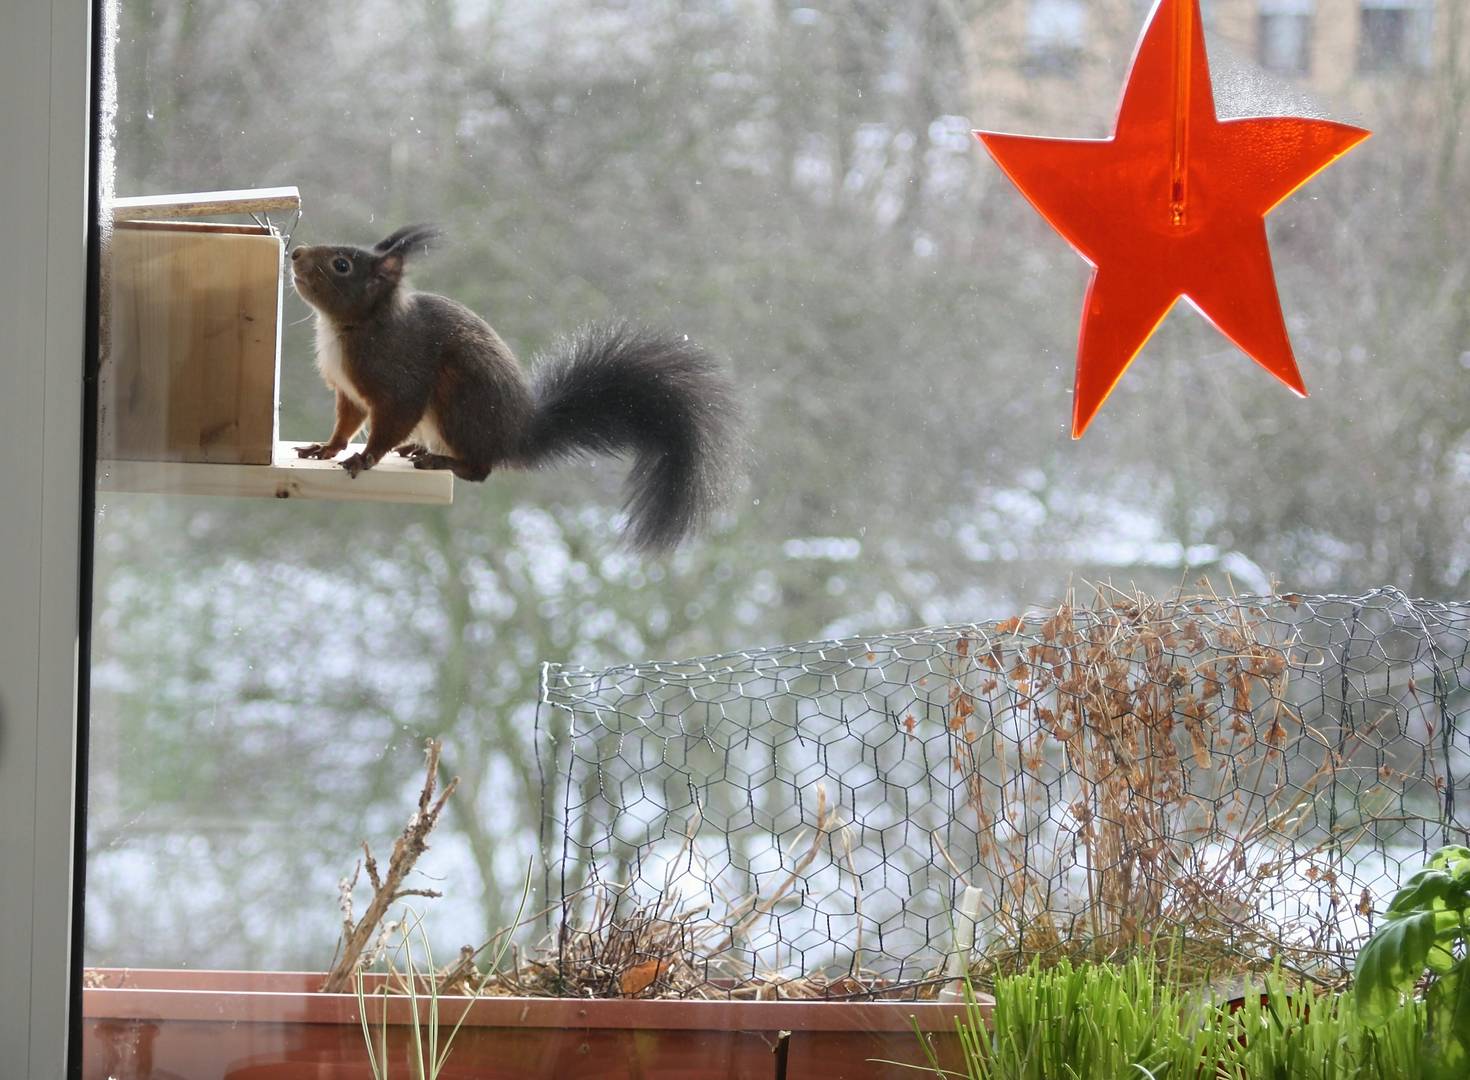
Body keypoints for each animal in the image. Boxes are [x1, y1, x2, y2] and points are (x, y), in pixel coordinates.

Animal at [289, 224, 735, 552]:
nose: (295, 254)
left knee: (480, 469)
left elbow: (391, 421)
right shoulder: (348, 390)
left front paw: (363, 459)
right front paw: (326, 449)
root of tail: (519, 432)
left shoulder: (400, 377)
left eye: (342, 265)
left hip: (459, 402)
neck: (355, 325)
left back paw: (440, 460)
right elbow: (347, 421)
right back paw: (419, 448)